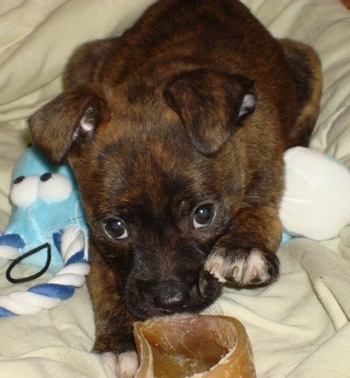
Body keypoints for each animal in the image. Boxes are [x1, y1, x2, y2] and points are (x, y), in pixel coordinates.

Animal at [28, 0, 322, 374]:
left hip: (306, 57)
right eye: (116, 227)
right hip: (83, 57)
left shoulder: (264, 177)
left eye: (204, 214)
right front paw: (122, 342)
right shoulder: (99, 240)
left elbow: (258, 210)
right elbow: (105, 284)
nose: (171, 301)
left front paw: (242, 246)